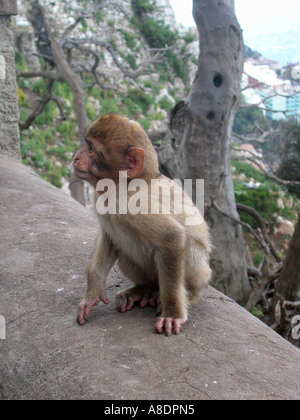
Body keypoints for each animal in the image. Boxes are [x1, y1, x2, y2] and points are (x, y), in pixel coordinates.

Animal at [73, 113, 212, 336]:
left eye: (91, 147)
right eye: (86, 144)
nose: (76, 157)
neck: (121, 185)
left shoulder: (133, 202)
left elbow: (171, 237)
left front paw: (173, 313)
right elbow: (108, 238)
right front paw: (92, 292)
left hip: (199, 274)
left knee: (187, 251)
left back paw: (185, 297)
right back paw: (144, 290)